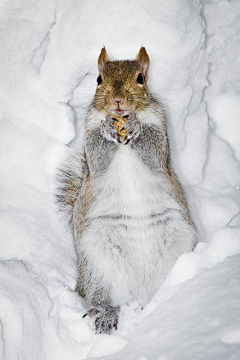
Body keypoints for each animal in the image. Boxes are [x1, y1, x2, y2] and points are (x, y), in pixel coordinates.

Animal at [55, 47, 198, 334]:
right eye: (98, 79)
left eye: (141, 78)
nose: (118, 101)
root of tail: (139, 295)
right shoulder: (90, 141)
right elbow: (97, 152)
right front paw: (107, 129)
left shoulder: (161, 131)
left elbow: (153, 147)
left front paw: (137, 127)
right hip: (98, 264)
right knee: (101, 295)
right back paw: (106, 313)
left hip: (178, 246)